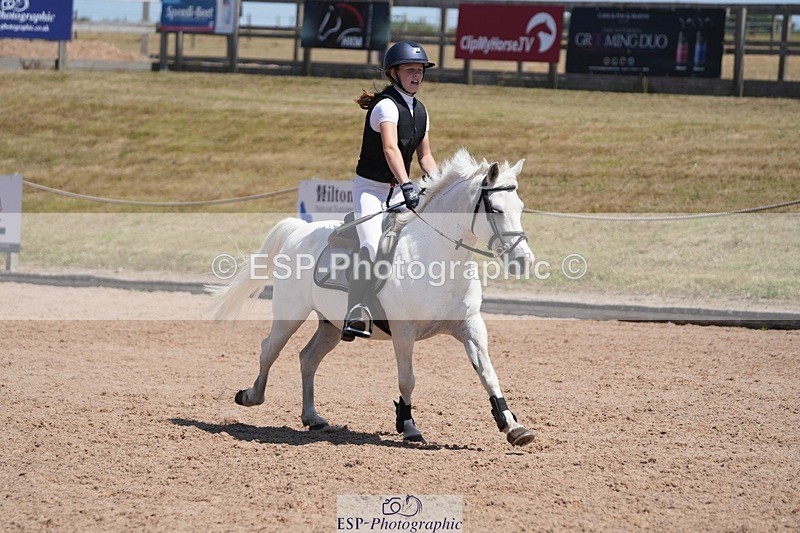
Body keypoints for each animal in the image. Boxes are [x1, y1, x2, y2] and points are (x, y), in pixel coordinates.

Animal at [210, 148, 537, 446]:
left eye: (520, 207)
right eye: (495, 210)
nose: (524, 261)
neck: (437, 257)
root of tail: (299, 230)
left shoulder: (470, 326)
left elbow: (488, 374)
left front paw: (513, 426)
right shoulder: (404, 332)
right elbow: (407, 379)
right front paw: (409, 427)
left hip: (330, 324)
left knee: (308, 359)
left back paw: (312, 417)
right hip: (290, 313)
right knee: (269, 349)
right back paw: (251, 396)